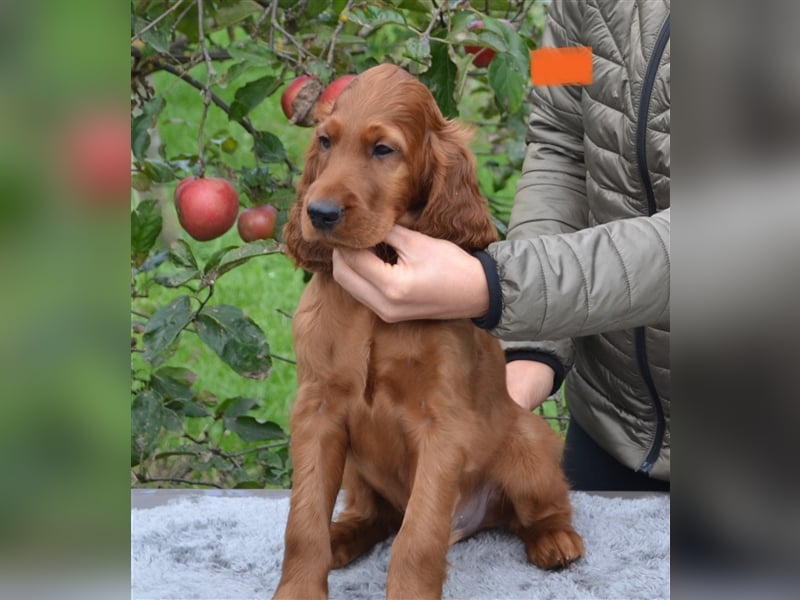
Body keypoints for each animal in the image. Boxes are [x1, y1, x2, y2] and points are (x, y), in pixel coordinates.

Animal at [274, 63, 580, 596]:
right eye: (326, 141)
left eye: (383, 149)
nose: (319, 213)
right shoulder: (318, 410)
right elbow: (303, 522)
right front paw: (296, 589)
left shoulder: (442, 425)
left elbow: (417, 538)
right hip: (357, 469)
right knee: (376, 516)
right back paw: (342, 537)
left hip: (529, 444)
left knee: (541, 509)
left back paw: (556, 540)